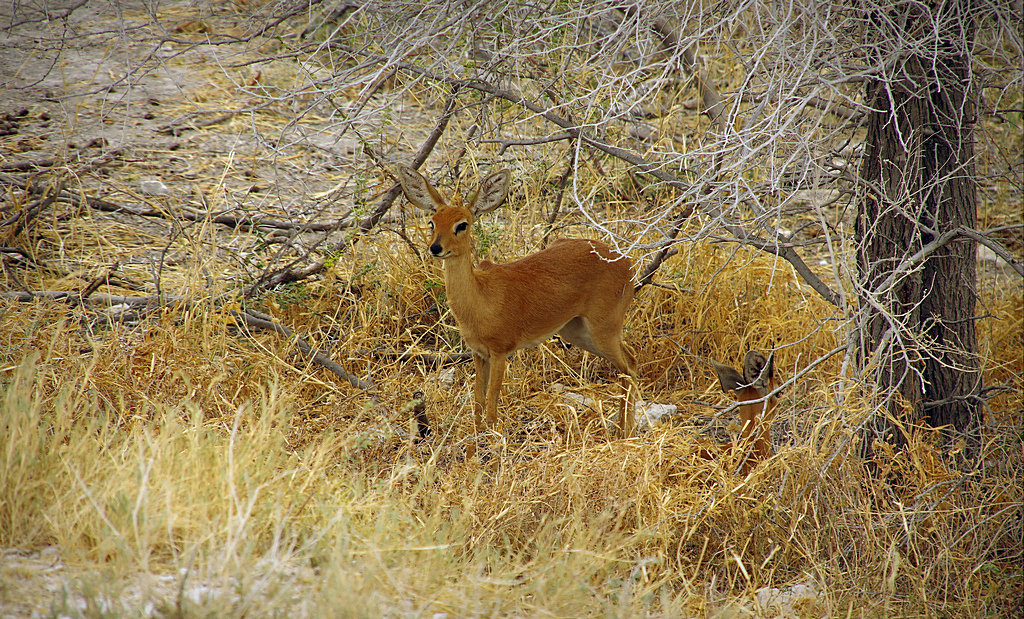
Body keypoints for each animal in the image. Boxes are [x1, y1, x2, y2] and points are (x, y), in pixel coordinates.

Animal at [395, 162, 634, 434]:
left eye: (462, 224)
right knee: (631, 363)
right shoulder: (479, 354)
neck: (480, 299)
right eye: (432, 221)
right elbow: (477, 404)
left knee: (628, 368)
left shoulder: (500, 352)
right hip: (576, 331)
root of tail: (627, 263)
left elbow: (491, 408)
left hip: (603, 329)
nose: (435, 248)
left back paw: (623, 432)